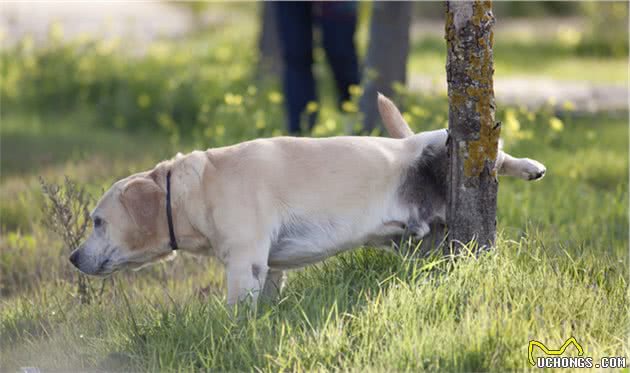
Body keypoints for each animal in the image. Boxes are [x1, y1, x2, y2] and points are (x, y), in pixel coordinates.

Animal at [68, 94, 544, 304]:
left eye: (97, 221)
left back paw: (529, 166)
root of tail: (408, 143)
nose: (72, 258)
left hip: (440, 146)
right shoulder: (268, 267)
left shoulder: (244, 262)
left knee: (497, 156)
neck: (196, 190)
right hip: (421, 240)